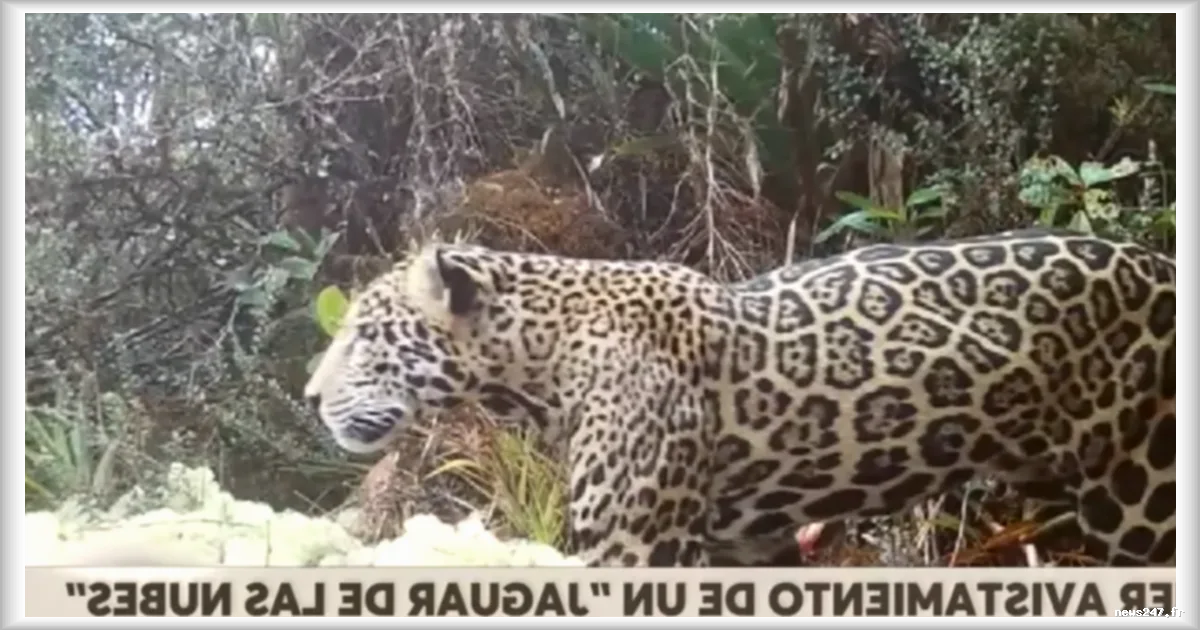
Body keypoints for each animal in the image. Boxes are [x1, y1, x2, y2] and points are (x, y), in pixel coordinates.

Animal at [303, 228, 1176, 568]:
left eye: (365, 337)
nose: (309, 397)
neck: (542, 361)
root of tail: (1159, 260)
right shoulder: (746, 545)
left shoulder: (637, 548)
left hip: (1141, 496)